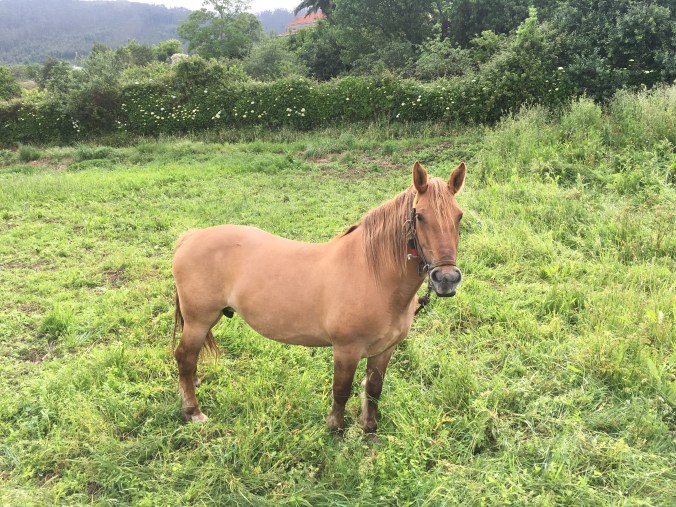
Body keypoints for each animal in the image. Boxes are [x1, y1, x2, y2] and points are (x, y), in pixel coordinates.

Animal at [172, 160, 466, 433]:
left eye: (459, 216)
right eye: (421, 217)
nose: (447, 279)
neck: (373, 275)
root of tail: (192, 237)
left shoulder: (385, 350)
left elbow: (373, 389)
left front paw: (369, 428)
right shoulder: (346, 349)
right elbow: (341, 390)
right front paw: (335, 428)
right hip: (199, 320)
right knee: (184, 358)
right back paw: (193, 412)